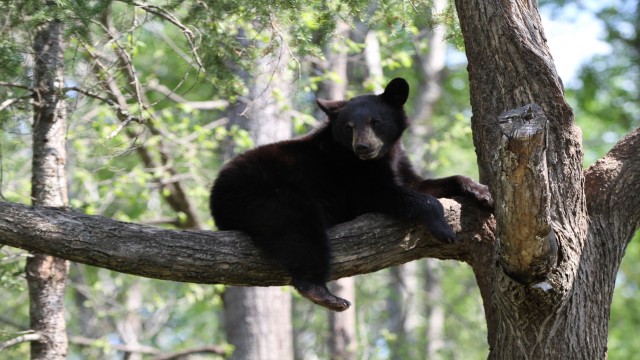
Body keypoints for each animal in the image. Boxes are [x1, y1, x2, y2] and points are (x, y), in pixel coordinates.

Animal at [212, 77, 492, 310]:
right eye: (349, 127)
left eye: (375, 122)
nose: (363, 146)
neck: (377, 158)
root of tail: (216, 197)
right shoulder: (351, 176)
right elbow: (391, 195)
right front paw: (444, 230)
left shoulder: (399, 165)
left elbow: (424, 184)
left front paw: (482, 192)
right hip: (267, 195)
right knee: (298, 231)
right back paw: (325, 294)